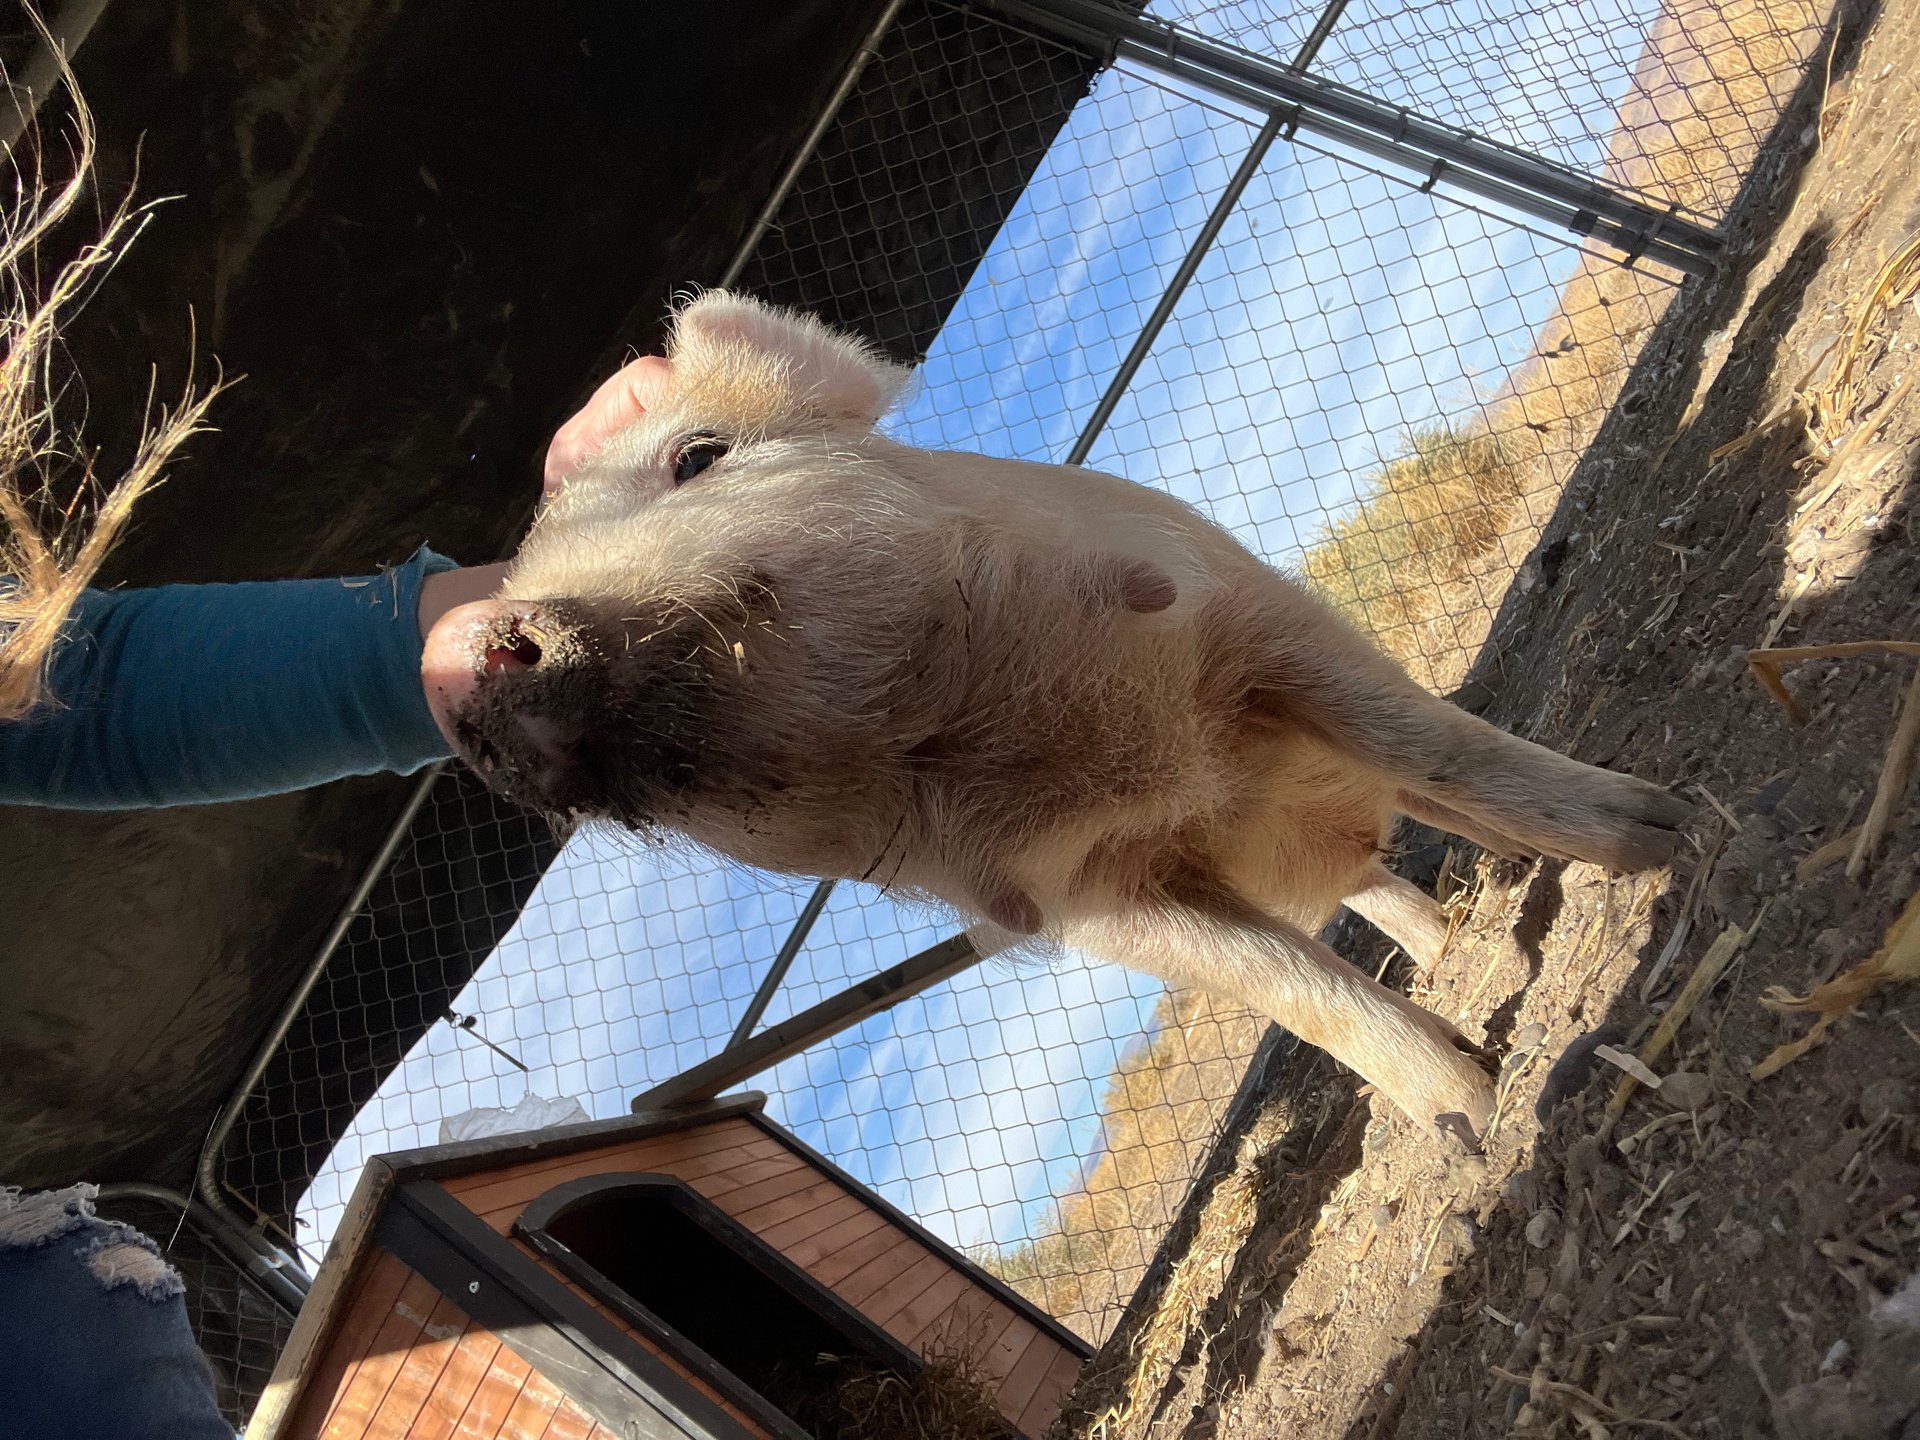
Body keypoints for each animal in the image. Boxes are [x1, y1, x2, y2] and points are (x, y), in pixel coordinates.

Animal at [420, 291, 1691, 1144]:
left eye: (698, 455)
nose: (456, 652)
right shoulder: (1082, 893)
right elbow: (1284, 983)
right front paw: (1471, 1120)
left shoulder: (1250, 624)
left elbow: (1437, 743)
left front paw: (1662, 836)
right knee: (1365, 884)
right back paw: (1464, 947)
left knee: (1411, 801)